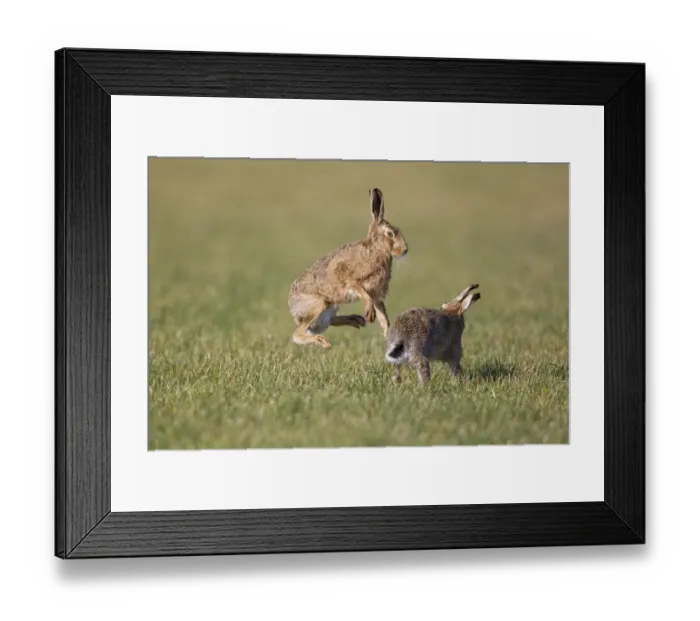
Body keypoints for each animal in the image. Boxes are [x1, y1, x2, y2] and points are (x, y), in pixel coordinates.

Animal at [288, 188, 409, 349]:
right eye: (390, 234)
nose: (405, 250)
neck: (375, 249)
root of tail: (292, 309)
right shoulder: (352, 280)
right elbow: (364, 294)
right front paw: (370, 314)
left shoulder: (377, 294)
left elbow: (383, 317)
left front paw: (387, 335)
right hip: (319, 304)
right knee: (298, 333)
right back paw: (323, 342)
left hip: (329, 308)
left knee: (329, 321)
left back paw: (356, 320)